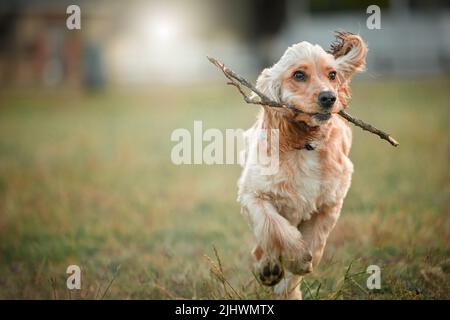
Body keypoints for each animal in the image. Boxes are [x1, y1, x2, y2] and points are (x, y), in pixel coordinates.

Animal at [237, 31, 368, 298]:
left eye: (332, 75)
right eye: (299, 75)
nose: (329, 97)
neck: (306, 144)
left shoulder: (329, 204)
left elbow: (315, 245)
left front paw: (293, 276)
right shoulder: (253, 195)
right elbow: (276, 229)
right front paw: (295, 258)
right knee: (264, 242)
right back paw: (268, 267)